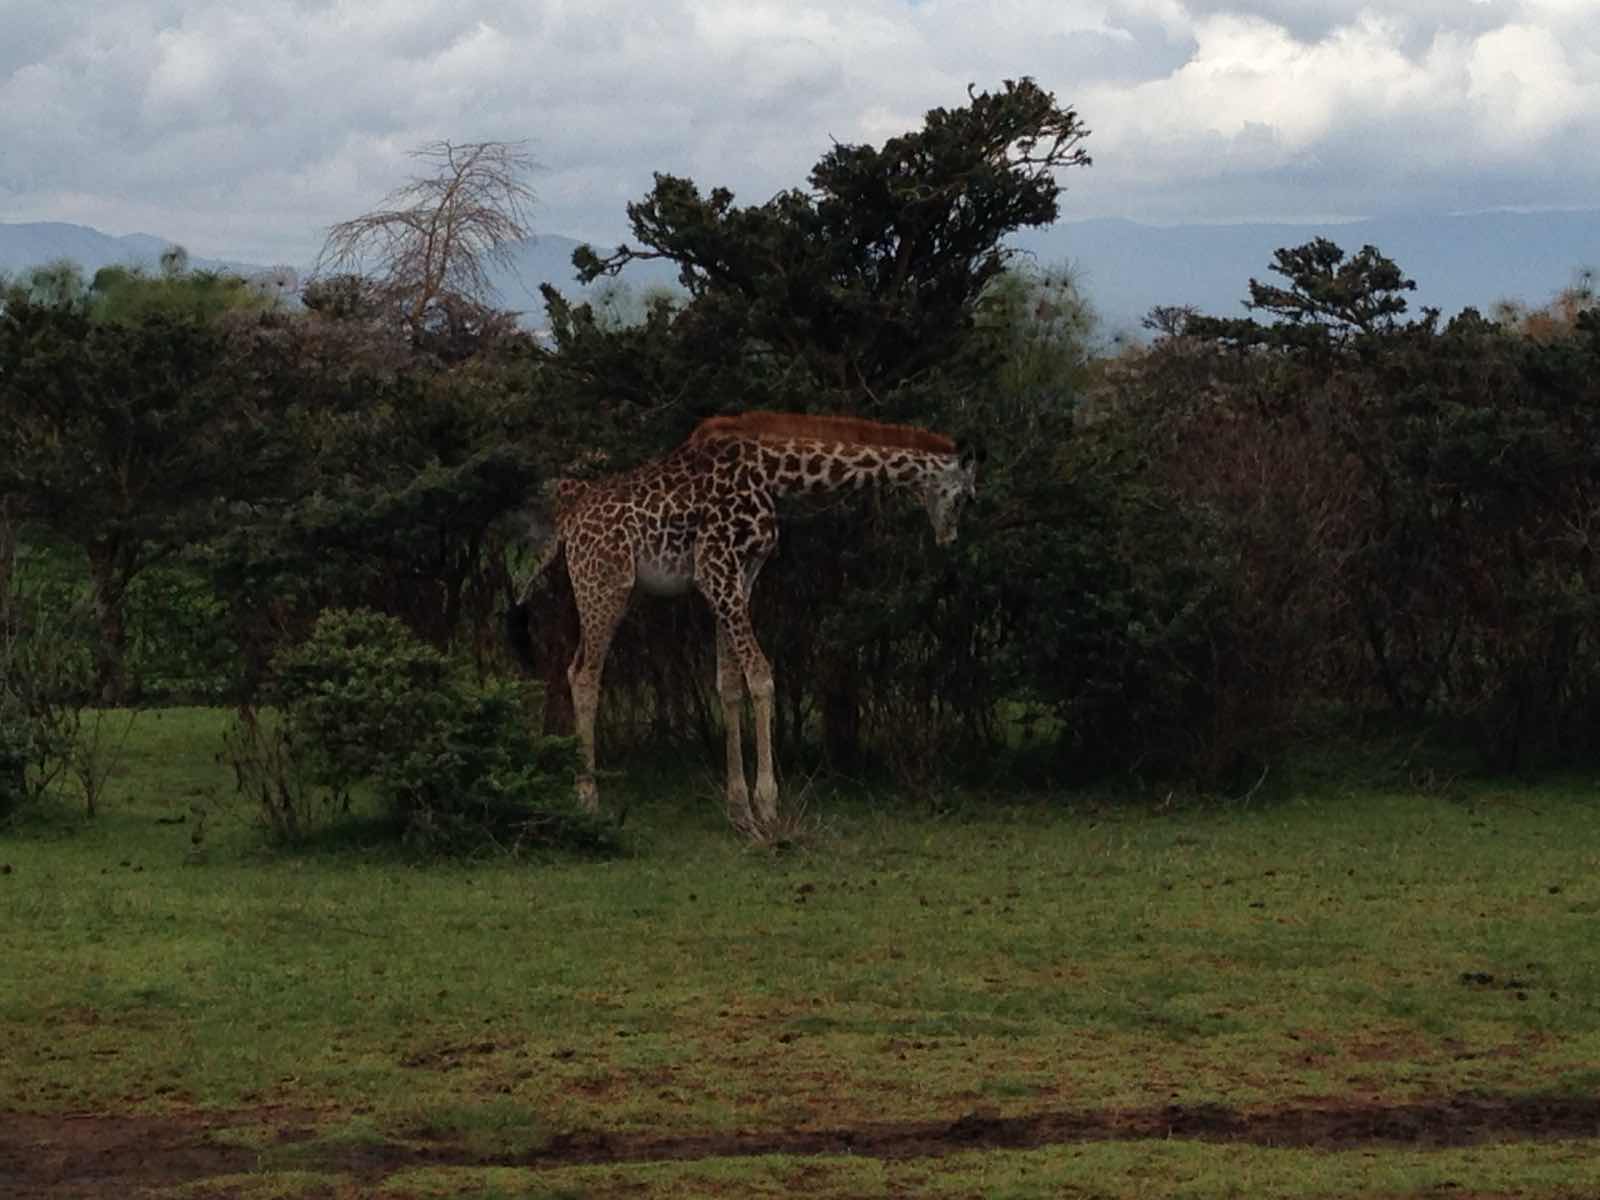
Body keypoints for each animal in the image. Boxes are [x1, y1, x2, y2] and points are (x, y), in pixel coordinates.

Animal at [508, 411, 978, 828]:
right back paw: (587, 796)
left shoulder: (739, 576)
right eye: (965, 497)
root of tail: (569, 516)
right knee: (584, 673)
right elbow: (762, 677)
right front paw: (768, 805)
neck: (772, 472)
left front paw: (738, 808)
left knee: (575, 668)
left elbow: (729, 685)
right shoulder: (716, 569)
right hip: (604, 585)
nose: (949, 537)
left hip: (604, 588)